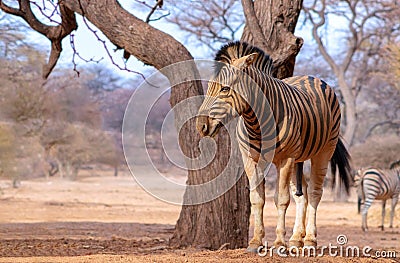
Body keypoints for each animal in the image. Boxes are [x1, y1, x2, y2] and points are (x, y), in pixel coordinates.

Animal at [195, 41, 352, 254]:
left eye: (225, 89)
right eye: (210, 87)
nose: (200, 127)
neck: (255, 122)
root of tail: (311, 77)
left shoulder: (285, 159)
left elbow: (281, 199)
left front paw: (278, 243)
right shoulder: (250, 159)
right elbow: (257, 198)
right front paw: (255, 242)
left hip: (323, 151)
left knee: (314, 192)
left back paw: (310, 239)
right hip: (298, 159)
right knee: (302, 195)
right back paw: (296, 238)